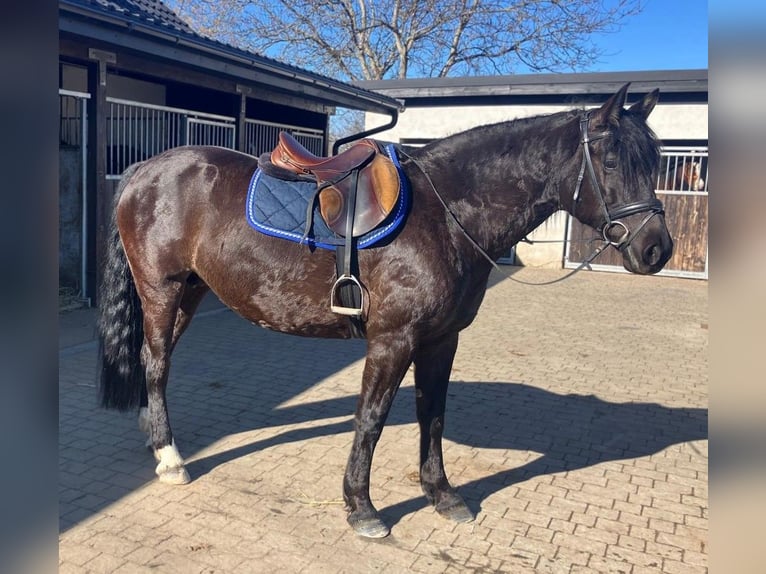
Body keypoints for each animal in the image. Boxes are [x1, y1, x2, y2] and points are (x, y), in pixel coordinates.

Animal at [97, 83, 673, 538]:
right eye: (613, 161)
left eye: (654, 160)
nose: (657, 250)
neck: (447, 212)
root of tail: (143, 171)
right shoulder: (393, 340)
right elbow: (371, 419)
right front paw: (362, 508)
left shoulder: (442, 340)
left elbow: (432, 415)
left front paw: (443, 495)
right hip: (162, 290)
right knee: (156, 363)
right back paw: (170, 459)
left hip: (191, 292)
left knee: (156, 362)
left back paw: (156, 438)